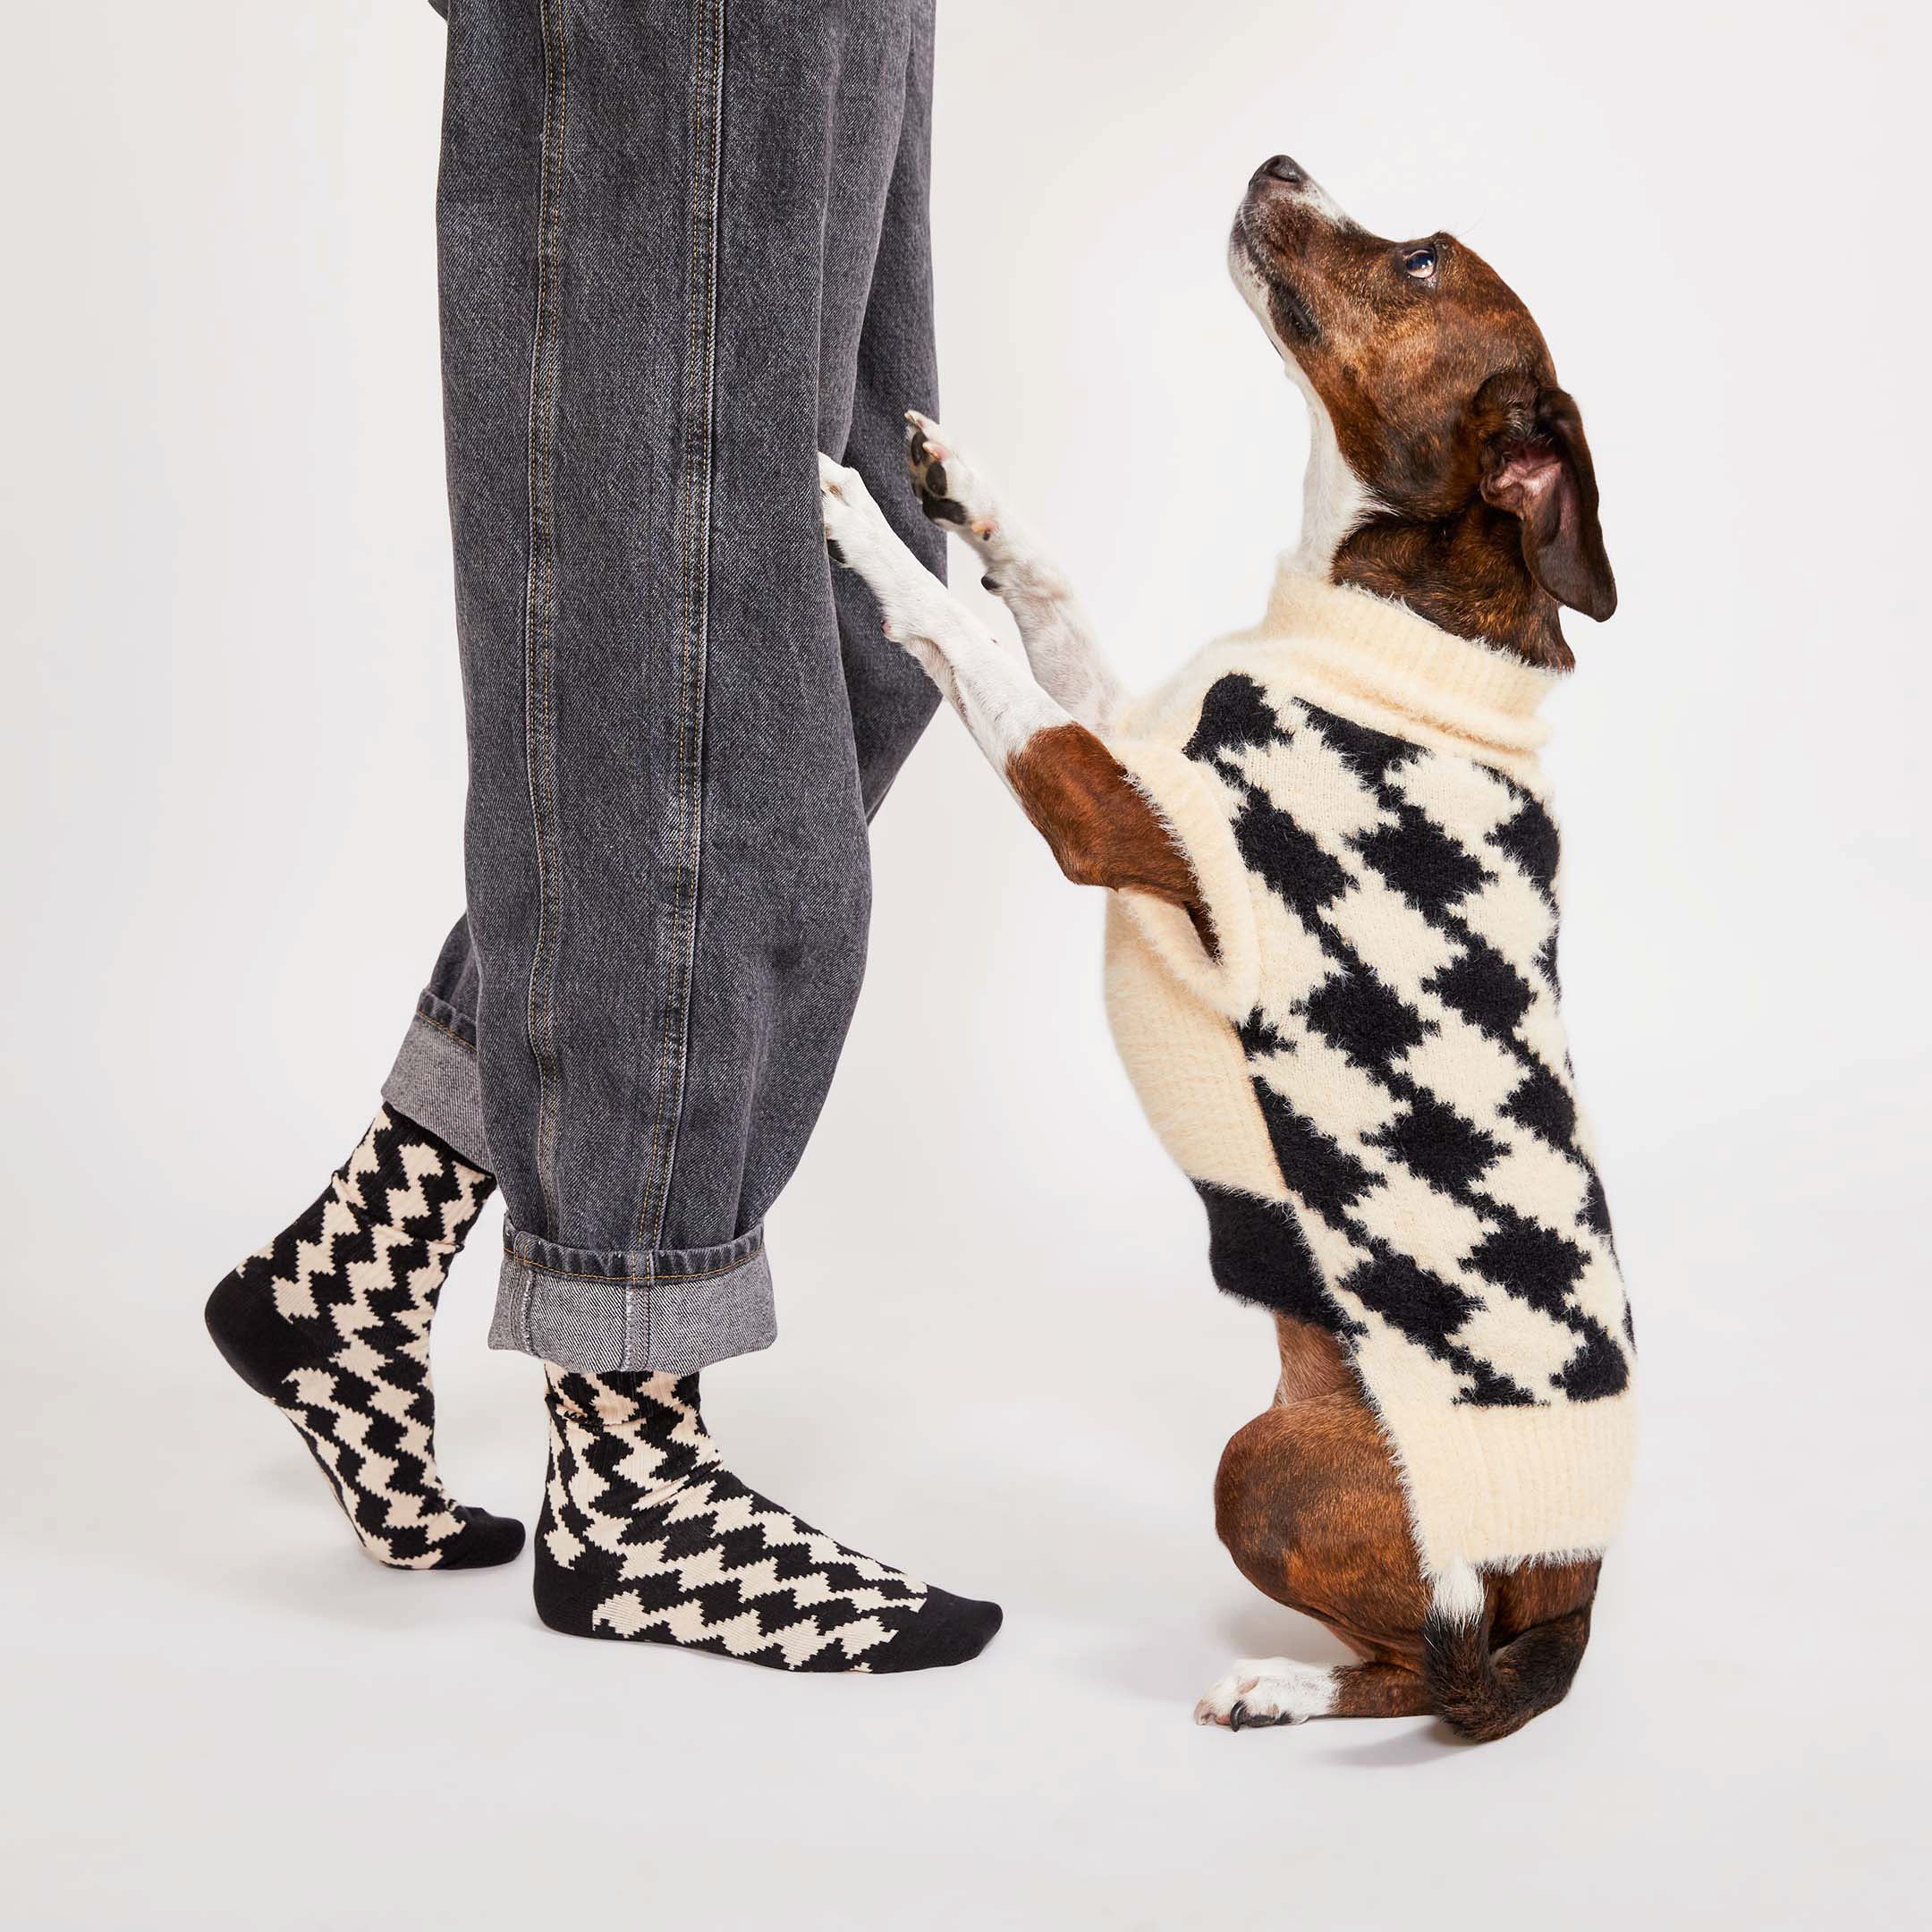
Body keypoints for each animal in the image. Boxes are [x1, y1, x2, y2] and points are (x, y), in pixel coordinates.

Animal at [815, 158, 1631, 1746]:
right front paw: (956, 488)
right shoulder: (1135, 737)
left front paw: (871, 534)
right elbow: (1047, 607)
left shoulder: (1112, 807)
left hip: (1265, 1465)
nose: (1279, 164)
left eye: (1424, 259)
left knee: (1428, 1680)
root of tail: (1573, 1612)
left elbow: (977, 658)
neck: (1385, 619)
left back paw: (1283, 1688)